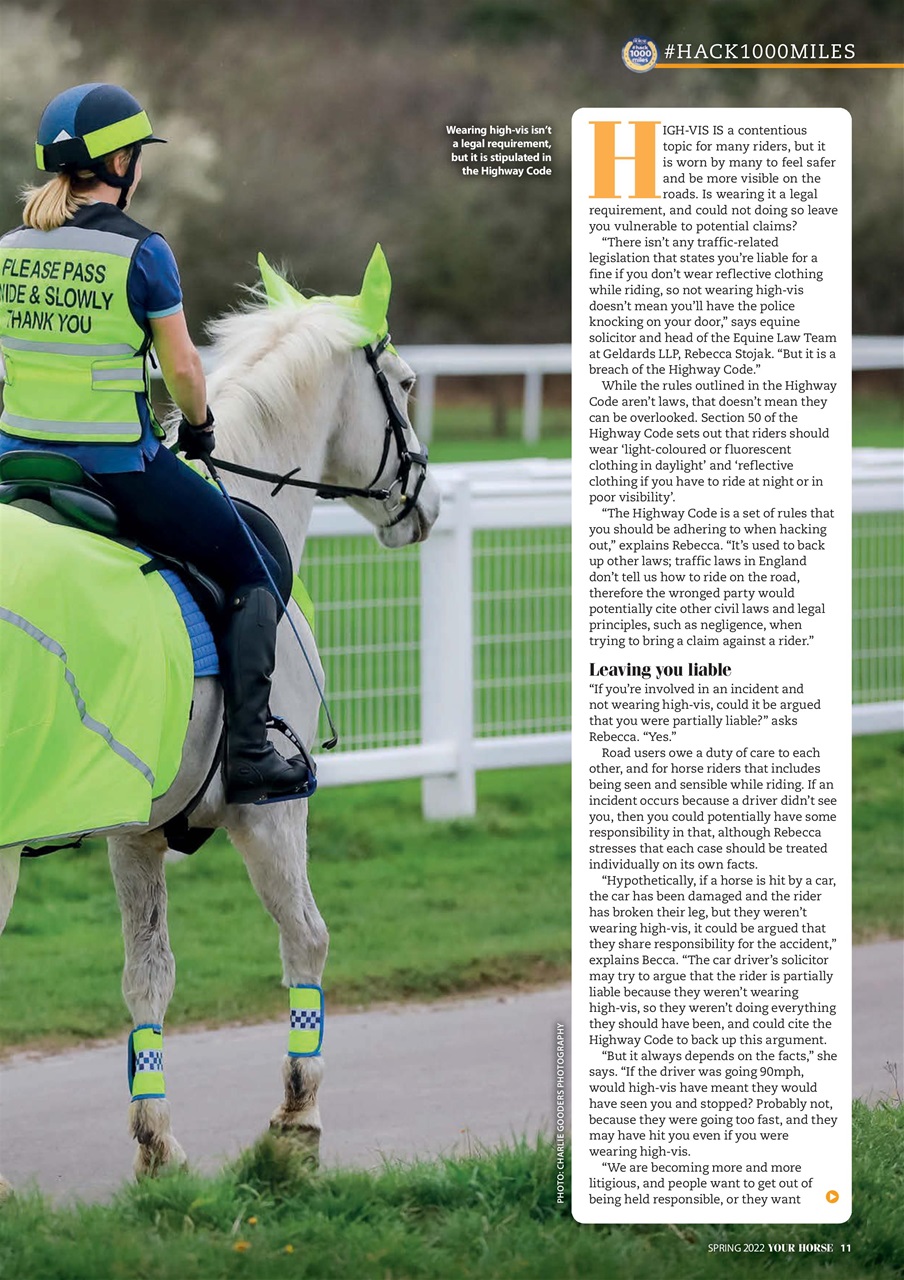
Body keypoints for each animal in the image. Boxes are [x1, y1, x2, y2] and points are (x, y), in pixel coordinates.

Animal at [0, 247, 440, 1188]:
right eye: (406, 383)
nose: (424, 504)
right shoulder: (268, 814)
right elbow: (307, 941)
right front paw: (296, 1125)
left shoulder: (133, 834)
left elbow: (148, 976)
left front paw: (157, 1146)